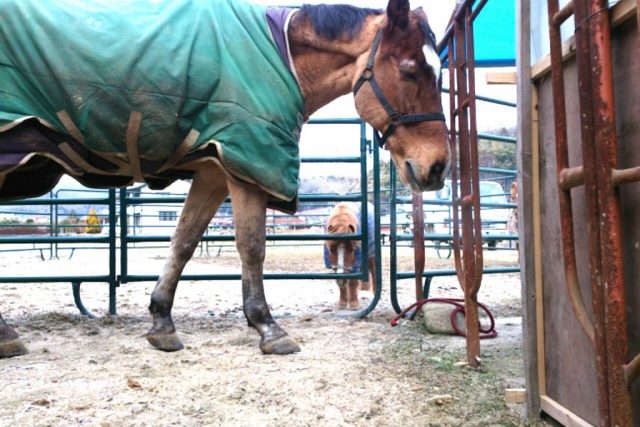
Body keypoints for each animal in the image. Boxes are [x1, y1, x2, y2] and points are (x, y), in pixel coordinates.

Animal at [0, 0, 450, 360]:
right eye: (410, 71)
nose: (438, 168)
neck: (281, 56)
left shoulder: (215, 172)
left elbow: (183, 243)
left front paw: (162, 323)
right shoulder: (247, 168)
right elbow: (252, 248)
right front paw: (268, 327)